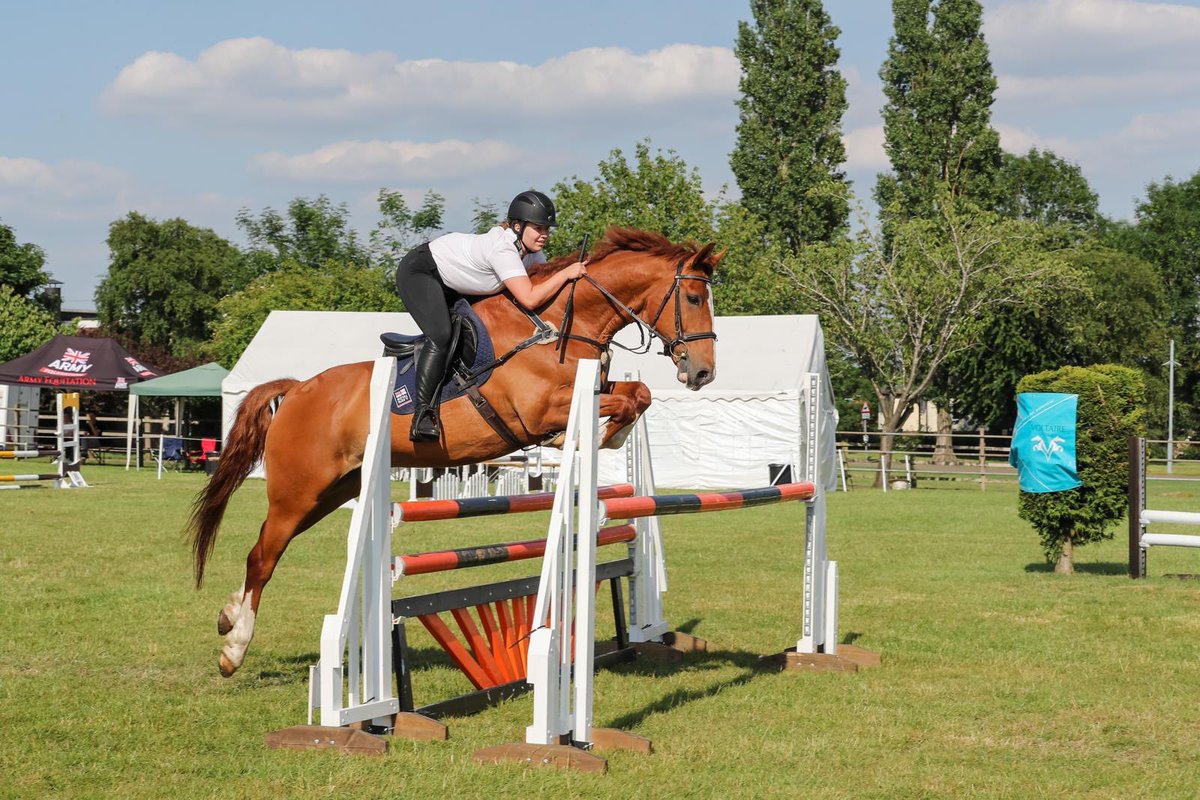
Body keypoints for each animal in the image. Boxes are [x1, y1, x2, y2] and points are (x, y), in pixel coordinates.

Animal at [189, 227, 720, 681]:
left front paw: (610, 433)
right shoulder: (537, 410)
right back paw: (234, 648)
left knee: (265, 549)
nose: (703, 373)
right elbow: (616, 403)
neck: (559, 325)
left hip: (328, 492)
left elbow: (638, 393)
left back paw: (227, 615)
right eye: (694, 298)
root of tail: (298, 389)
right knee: (263, 556)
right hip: (298, 492)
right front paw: (591, 435)